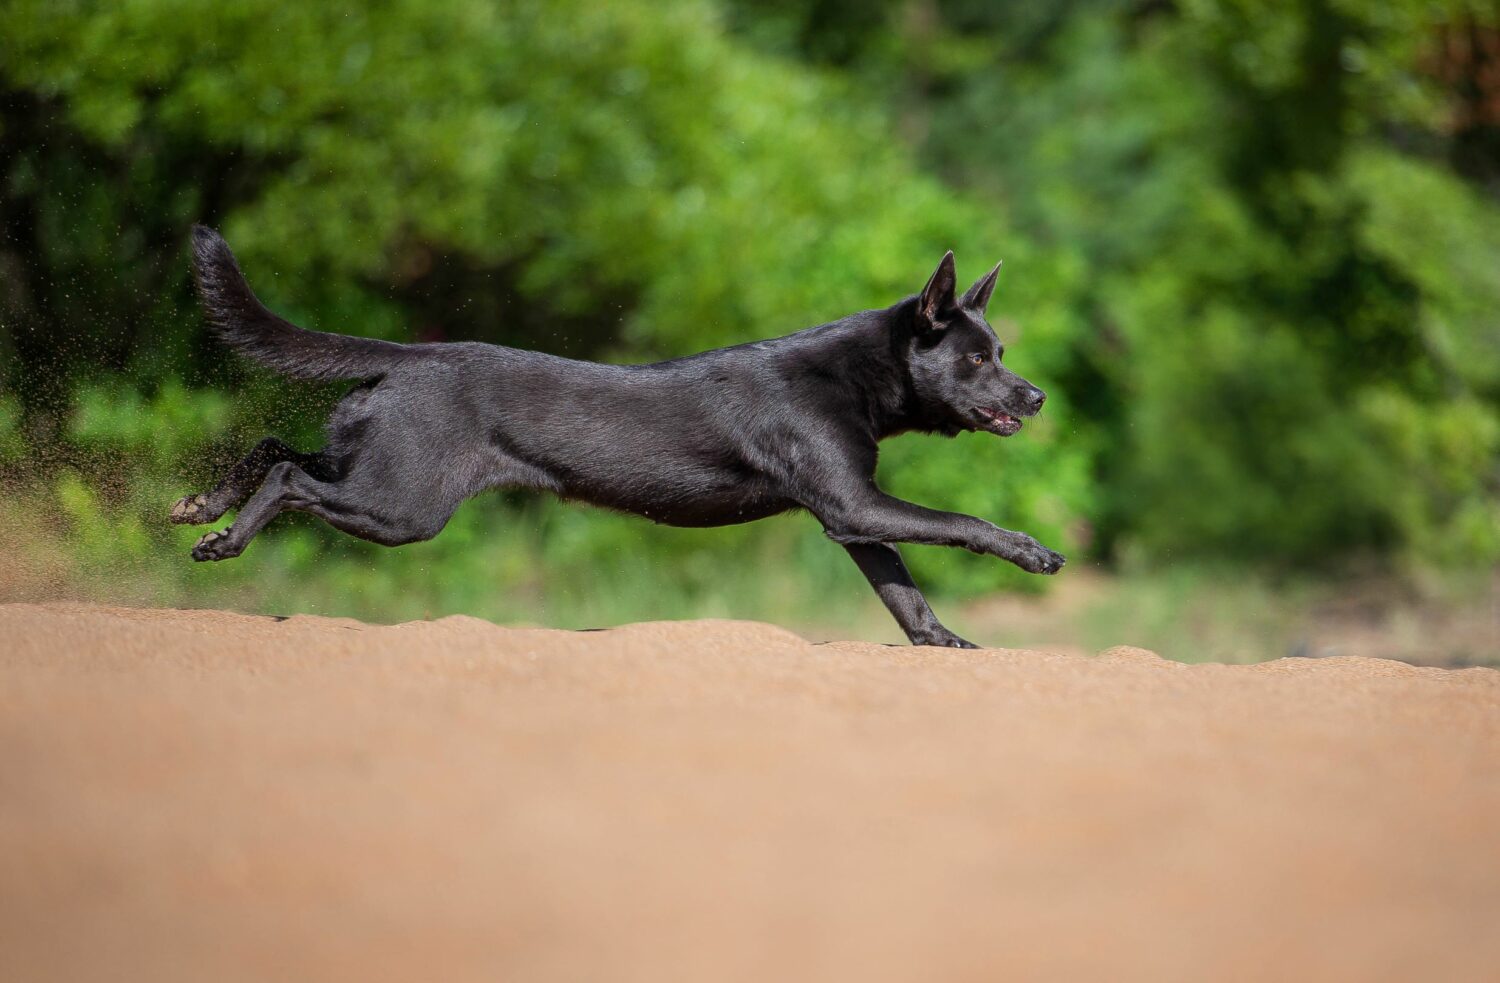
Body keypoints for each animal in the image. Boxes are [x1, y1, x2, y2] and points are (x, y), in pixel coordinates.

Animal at [175, 226, 1062, 651]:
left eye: (1001, 351)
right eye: (978, 358)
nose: (1037, 394)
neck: (856, 374)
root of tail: (408, 354)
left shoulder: (855, 517)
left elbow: (902, 587)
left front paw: (947, 644)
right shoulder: (853, 503)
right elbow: (960, 524)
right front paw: (1034, 551)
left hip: (377, 468)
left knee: (276, 448)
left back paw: (199, 506)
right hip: (403, 505)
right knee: (290, 480)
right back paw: (222, 542)